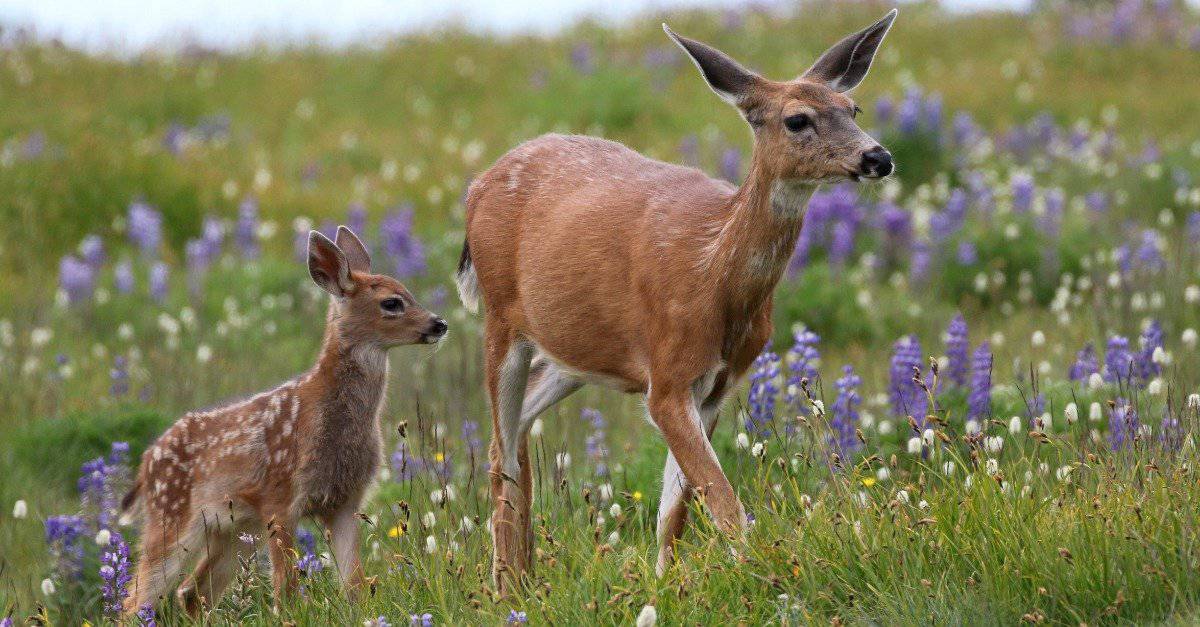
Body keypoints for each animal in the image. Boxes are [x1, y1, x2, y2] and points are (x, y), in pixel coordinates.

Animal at [119, 226, 448, 616]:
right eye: (392, 303)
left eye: (408, 292)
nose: (439, 323)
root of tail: (145, 464)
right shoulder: (281, 497)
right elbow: (286, 594)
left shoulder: (346, 502)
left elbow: (354, 586)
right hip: (172, 516)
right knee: (134, 599)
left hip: (235, 528)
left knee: (191, 592)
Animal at [456, 10, 897, 591]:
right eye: (797, 119)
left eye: (853, 109)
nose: (877, 156)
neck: (712, 279)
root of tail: (475, 188)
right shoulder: (666, 374)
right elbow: (724, 503)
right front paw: (762, 579)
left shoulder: (716, 384)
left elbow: (676, 511)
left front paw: (666, 587)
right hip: (501, 318)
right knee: (501, 446)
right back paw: (507, 586)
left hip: (573, 352)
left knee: (516, 429)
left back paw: (525, 574)